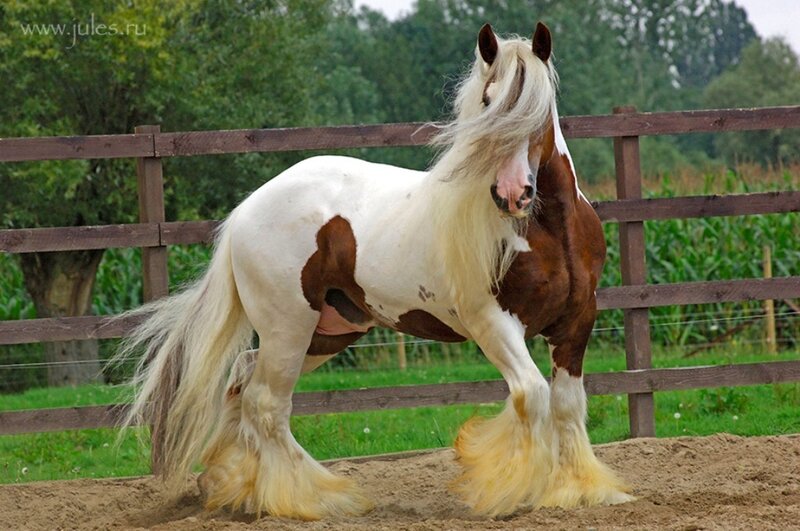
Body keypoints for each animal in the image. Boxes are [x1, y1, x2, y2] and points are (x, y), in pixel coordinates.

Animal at [118, 22, 634, 520]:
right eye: (489, 102)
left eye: (537, 108)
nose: (511, 194)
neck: (550, 232)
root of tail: (247, 209)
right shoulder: (492, 323)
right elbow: (532, 395)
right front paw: (508, 492)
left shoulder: (576, 323)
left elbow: (568, 404)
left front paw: (582, 491)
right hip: (289, 327)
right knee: (266, 404)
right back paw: (318, 499)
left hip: (329, 331)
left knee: (243, 383)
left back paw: (236, 490)